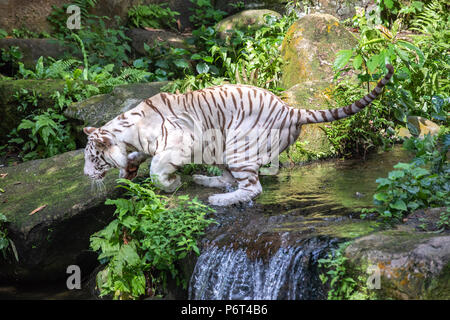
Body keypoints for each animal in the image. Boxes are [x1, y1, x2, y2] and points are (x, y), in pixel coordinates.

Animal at [84, 63, 394, 206]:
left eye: (92, 158)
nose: (86, 175)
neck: (128, 129)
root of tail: (290, 110)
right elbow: (138, 157)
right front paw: (128, 169)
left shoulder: (181, 144)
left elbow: (157, 167)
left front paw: (171, 185)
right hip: (220, 146)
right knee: (229, 179)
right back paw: (205, 180)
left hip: (238, 146)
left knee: (251, 188)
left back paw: (218, 199)